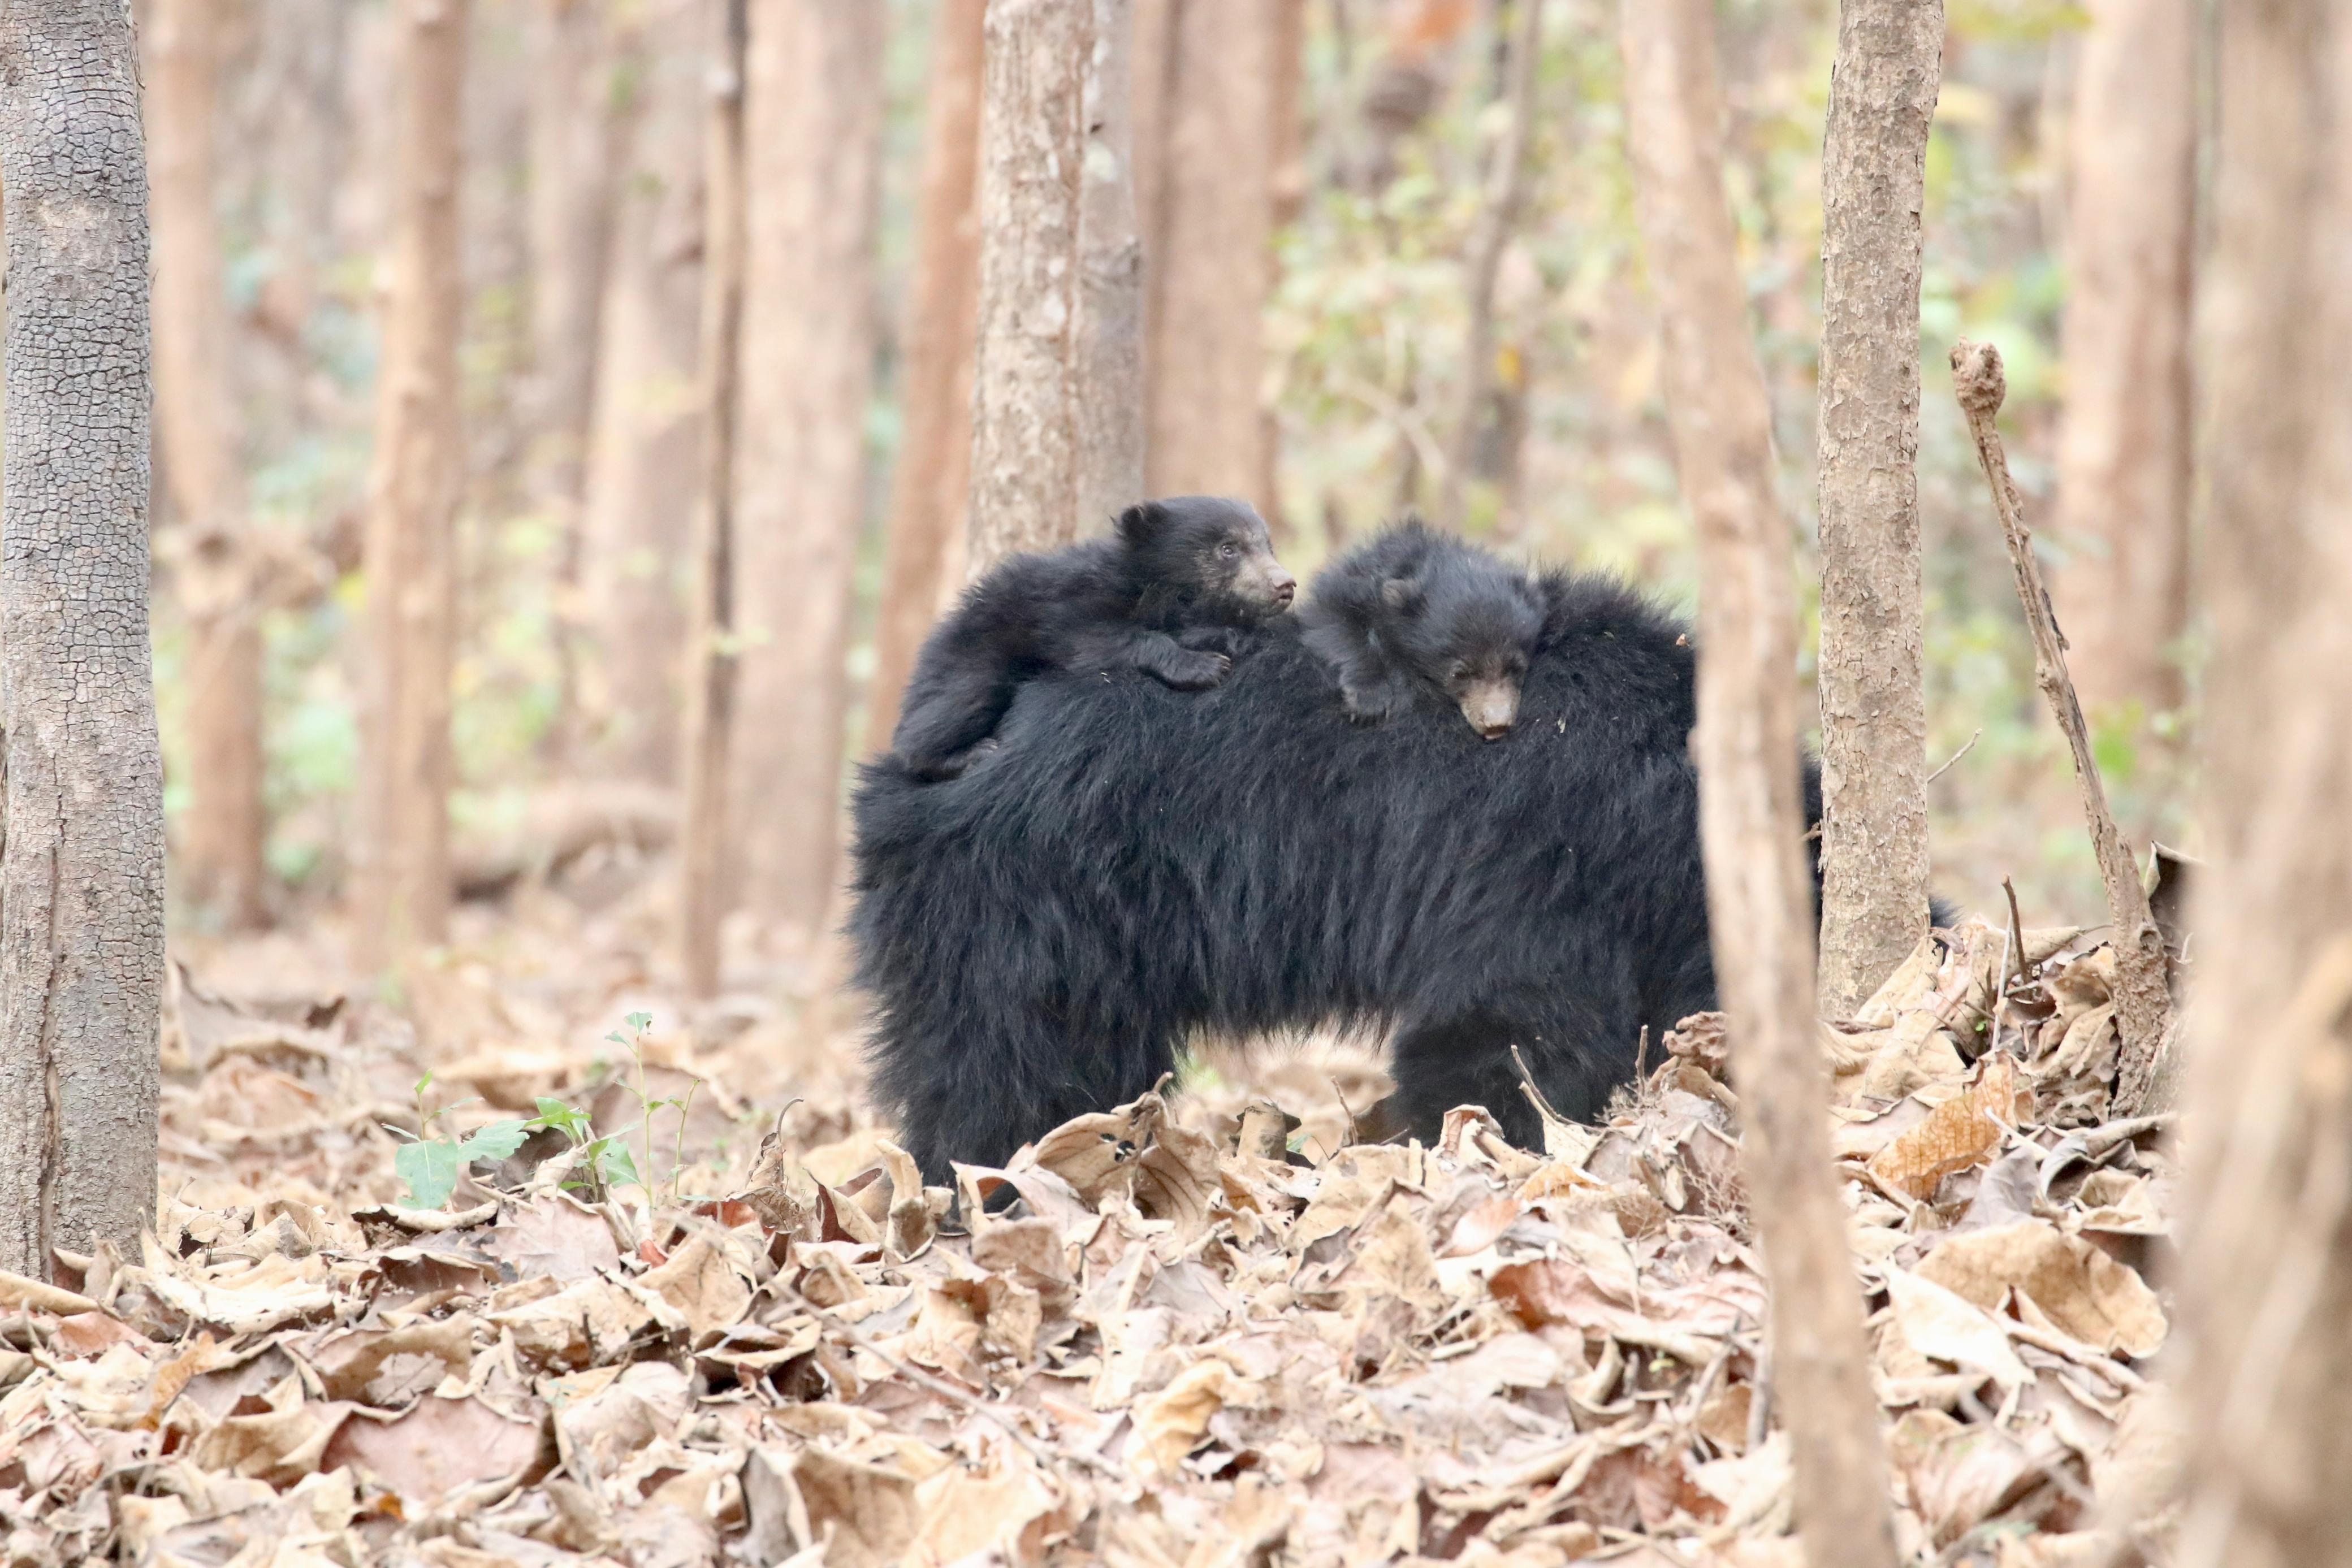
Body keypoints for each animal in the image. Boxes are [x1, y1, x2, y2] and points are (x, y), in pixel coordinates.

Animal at [888, 495, 1297, 781]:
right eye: (1228, 549)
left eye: (1268, 546)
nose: (1286, 584)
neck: (1153, 589)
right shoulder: (1069, 604)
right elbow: (1093, 641)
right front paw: (1205, 667)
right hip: (972, 660)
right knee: (947, 713)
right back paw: (971, 753)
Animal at [1300, 518, 1546, 739]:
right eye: (1459, 674)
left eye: (1517, 668)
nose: (1497, 724)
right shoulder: (1354, 586)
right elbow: (1330, 617)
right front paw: (1369, 702)